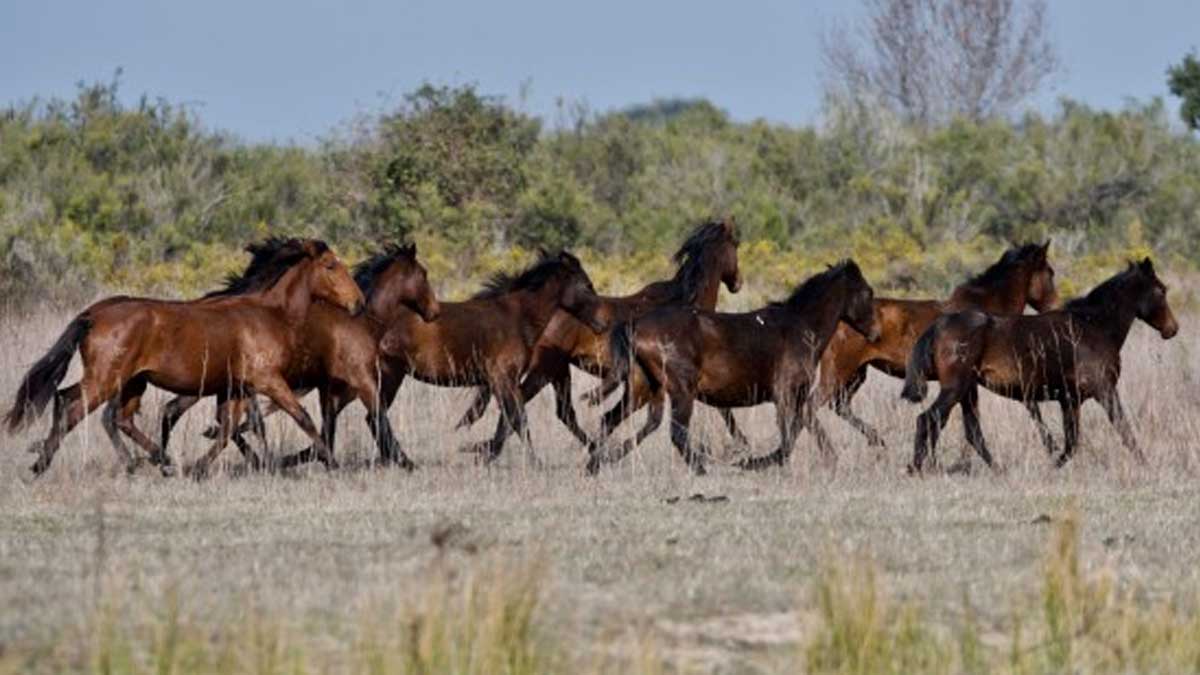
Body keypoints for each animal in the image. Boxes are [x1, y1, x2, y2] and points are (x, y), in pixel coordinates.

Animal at [4, 238, 365, 477]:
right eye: (331, 266)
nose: (358, 302)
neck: (268, 315)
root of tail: (94, 314)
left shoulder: (235, 388)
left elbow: (229, 428)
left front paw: (200, 468)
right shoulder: (267, 381)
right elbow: (301, 417)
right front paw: (332, 462)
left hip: (132, 382)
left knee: (116, 417)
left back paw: (161, 460)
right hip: (106, 379)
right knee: (71, 404)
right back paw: (41, 464)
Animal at [149, 243, 441, 471]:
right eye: (424, 274)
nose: (434, 312)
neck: (362, 322)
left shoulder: (329, 389)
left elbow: (327, 430)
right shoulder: (361, 381)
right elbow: (377, 419)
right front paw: (405, 461)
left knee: (180, 412)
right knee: (200, 416)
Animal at [452, 218, 742, 452]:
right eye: (736, 245)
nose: (737, 283)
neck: (685, 301)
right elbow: (723, 408)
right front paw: (742, 446)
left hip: (558, 371)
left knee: (560, 412)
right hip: (545, 369)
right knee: (522, 405)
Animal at [586, 260, 881, 475]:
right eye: (868, 292)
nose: (876, 334)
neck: (800, 328)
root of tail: (635, 326)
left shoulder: (797, 394)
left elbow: (805, 424)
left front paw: (831, 459)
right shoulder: (784, 393)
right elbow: (788, 437)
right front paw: (756, 463)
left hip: (643, 387)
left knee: (615, 419)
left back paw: (597, 463)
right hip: (681, 390)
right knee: (676, 432)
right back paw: (700, 469)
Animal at [900, 258, 1178, 473]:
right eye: (1161, 290)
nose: (1172, 329)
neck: (1093, 327)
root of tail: (939, 325)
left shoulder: (1070, 400)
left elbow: (1072, 442)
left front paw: (1053, 463)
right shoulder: (1104, 390)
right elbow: (1123, 429)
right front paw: (1145, 463)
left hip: (968, 391)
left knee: (968, 431)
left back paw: (993, 468)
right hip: (956, 388)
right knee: (929, 419)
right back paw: (918, 467)